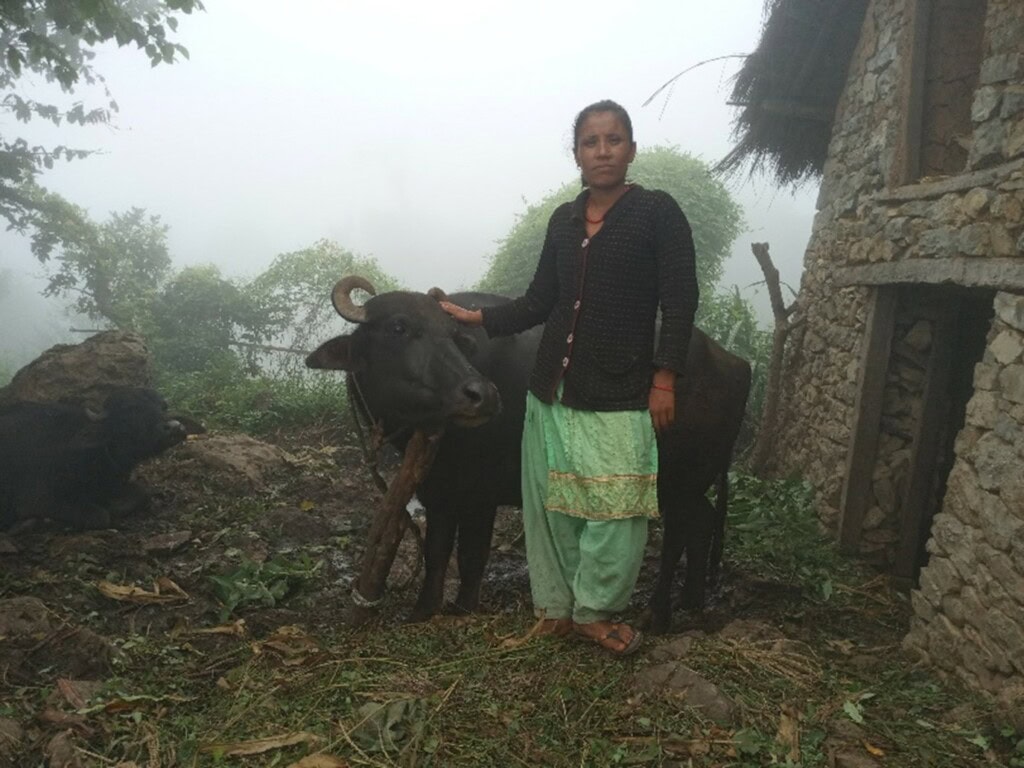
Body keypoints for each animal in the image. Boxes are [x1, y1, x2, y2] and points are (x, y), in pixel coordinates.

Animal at [0, 387, 196, 532]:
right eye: (131, 412)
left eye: (162, 407)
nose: (174, 427)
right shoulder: (37, 499)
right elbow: (100, 516)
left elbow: (142, 492)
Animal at [307, 276, 749, 630]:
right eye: (398, 327)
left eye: (451, 334)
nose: (481, 396)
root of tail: (734, 362)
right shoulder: (439, 491)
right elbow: (437, 553)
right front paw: (424, 611)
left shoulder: (479, 495)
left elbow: (470, 555)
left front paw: (462, 608)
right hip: (690, 483)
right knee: (702, 522)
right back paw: (691, 601)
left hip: (677, 481)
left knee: (678, 533)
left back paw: (657, 613)